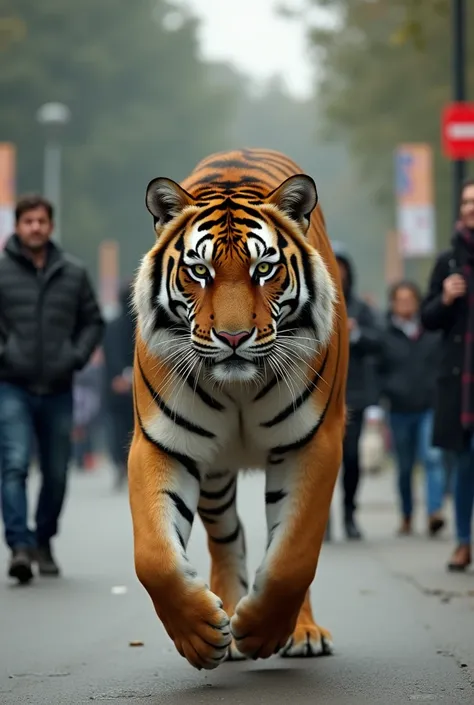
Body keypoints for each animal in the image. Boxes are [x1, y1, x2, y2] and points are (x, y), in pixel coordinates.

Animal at [128, 147, 350, 672]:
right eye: (199, 271)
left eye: (263, 269)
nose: (232, 337)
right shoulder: (160, 444)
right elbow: (155, 557)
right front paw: (200, 636)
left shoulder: (313, 443)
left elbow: (293, 555)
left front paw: (264, 632)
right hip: (213, 473)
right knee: (228, 536)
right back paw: (225, 623)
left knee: (280, 540)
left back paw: (300, 632)